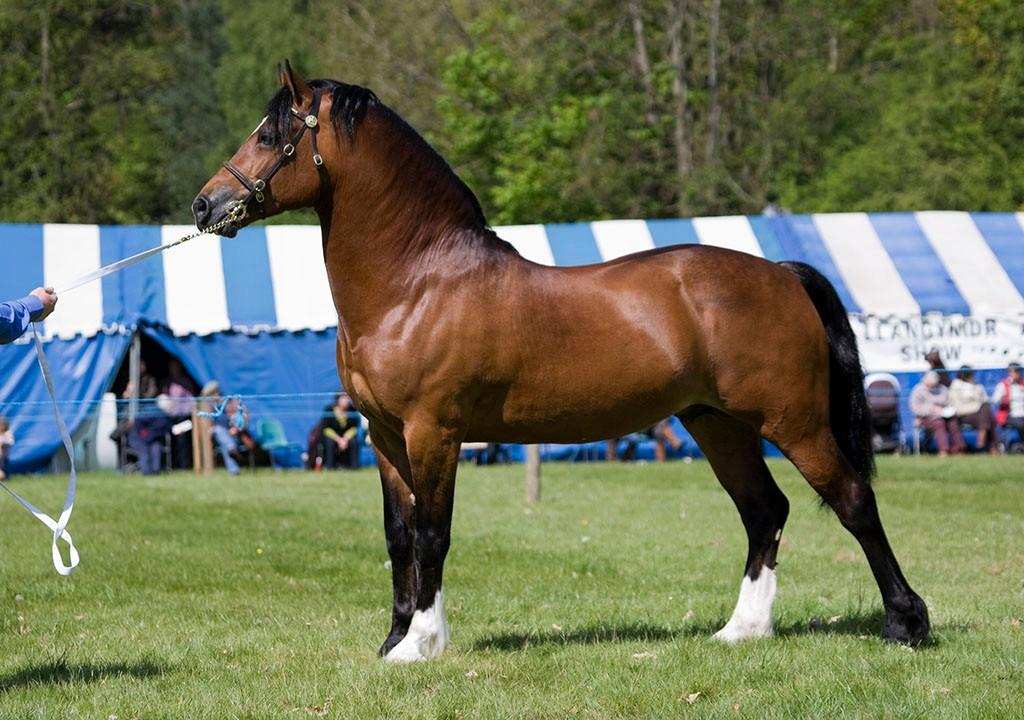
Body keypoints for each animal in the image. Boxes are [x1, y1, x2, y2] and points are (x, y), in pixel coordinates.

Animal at [193, 61, 930, 661]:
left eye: (271, 134)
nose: (206, 205)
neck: (418, 283)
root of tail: (779, 272)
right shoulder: (384, 435)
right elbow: (399, 535)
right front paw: (394, 638)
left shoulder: (435, 432)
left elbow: (433, 533)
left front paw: (423, 645)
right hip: (716, 423)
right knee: (764, 511)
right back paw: (741, 631)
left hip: (793, 422)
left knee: (852, 501)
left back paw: (906, 623)